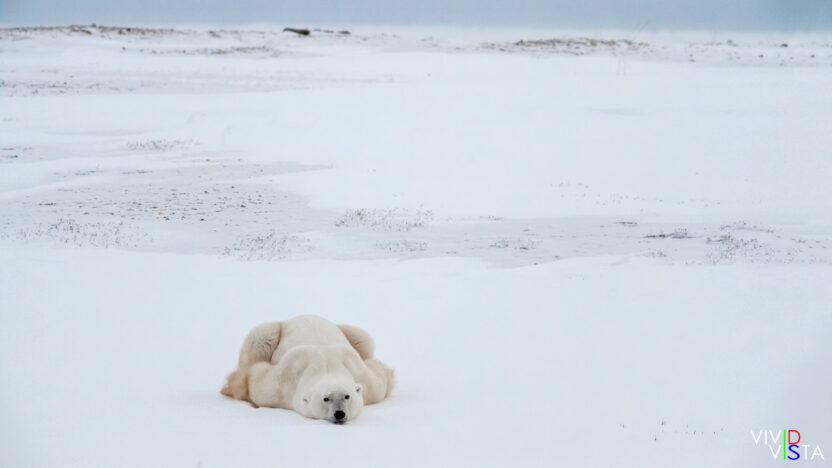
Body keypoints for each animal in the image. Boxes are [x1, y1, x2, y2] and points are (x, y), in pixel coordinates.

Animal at [221, 315, 394, 424]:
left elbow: (380, 380)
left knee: (363, 338)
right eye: (326, 398)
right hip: (270, 332)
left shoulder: (359, 372)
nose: (339, 413)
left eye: (347, 396)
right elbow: (257, 380)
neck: (326, 368)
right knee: (259, 339)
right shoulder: (282, 382)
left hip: (349, 332)